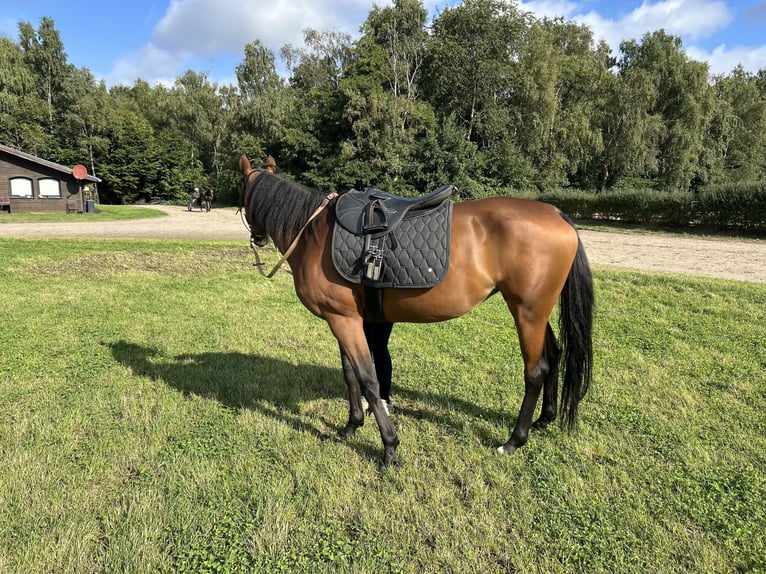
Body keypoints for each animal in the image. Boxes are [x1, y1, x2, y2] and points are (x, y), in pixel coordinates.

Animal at [239, 154, 593, 466]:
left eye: (242, 192)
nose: (257, 237)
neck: (313, 235)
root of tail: (557, 214)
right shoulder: (342, 319)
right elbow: (350, 374)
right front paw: (351, 426)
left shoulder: (343, 320)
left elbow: (368, 379)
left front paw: (389, 447)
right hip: (535, 311)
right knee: (555, 353)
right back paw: (544, 419)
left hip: (527, 312)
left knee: (536, 371)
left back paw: (514, 441)